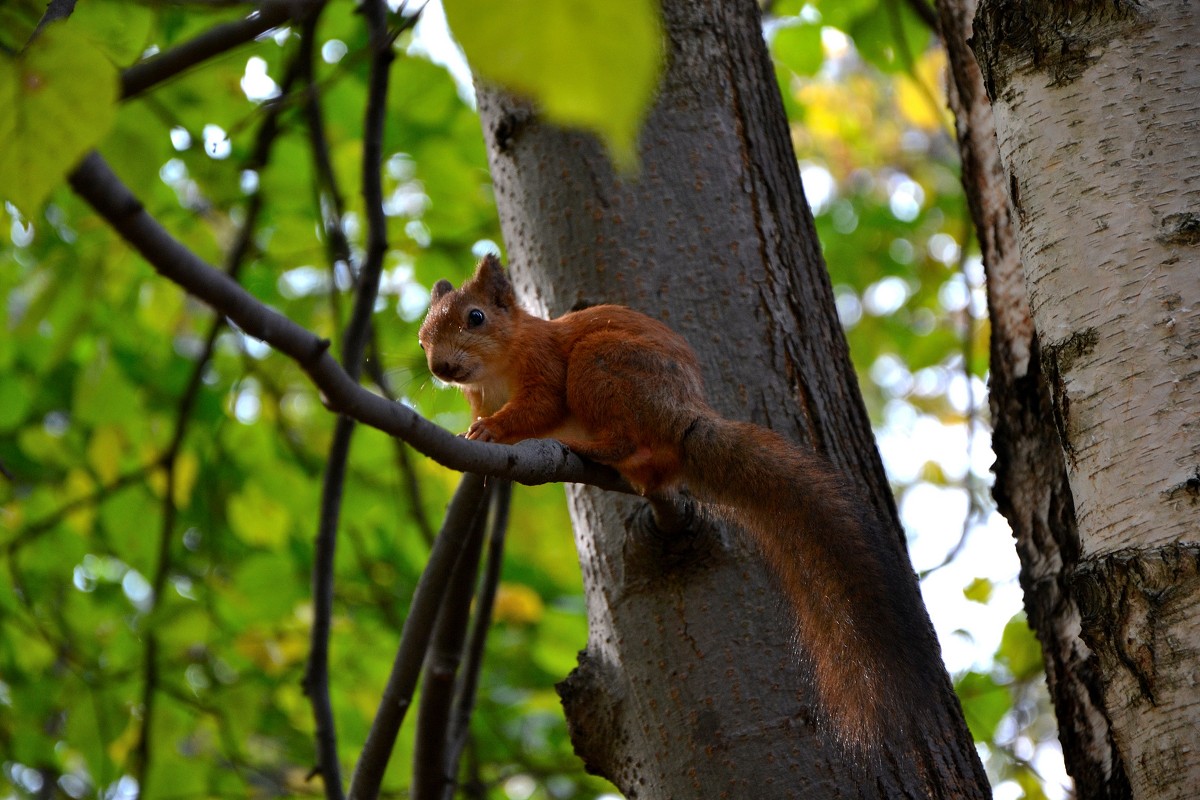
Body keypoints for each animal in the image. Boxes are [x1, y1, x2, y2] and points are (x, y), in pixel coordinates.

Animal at [417, 256, 940, 753]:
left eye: (476, 317)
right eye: (423, 336)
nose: (440, 368)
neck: (496, 371)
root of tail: (680, 416)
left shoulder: (544, 367)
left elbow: (537, 408)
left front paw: (491, 432)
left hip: (600, 364)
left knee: (623, 433)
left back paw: (593, 448)